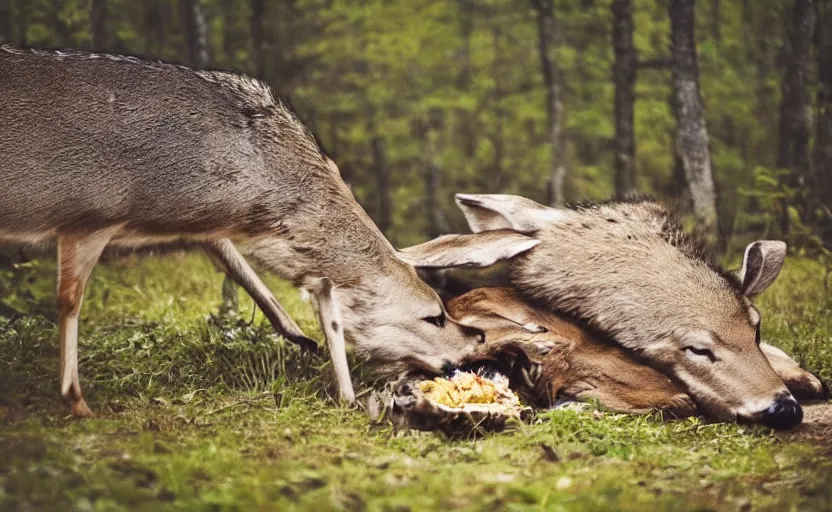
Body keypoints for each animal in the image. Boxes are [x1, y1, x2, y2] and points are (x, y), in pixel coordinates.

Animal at [0, 47, 540, 416]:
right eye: (434, 315)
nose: (474, 341)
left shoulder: (201, 225)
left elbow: (238, 263)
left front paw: (300, 337)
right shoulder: (88, 214)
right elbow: (69, 300)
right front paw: (75, 399)